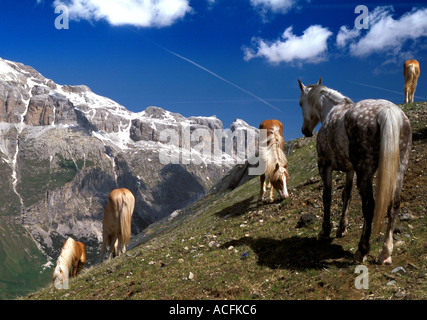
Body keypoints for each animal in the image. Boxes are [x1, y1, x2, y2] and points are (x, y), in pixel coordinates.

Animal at [298, 77, 412, 264]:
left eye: (300, 103)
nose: (305, 131)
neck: (331, 111)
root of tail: (388, 110)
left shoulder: (325, 166)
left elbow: (327, 197)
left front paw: (325, 231)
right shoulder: (350, 170)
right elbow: (347, 195)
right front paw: (341, 228)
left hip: (365, 171)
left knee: (369, 205)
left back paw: (362, 250)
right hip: (399, 168)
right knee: (394, 205)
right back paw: (385, 253)